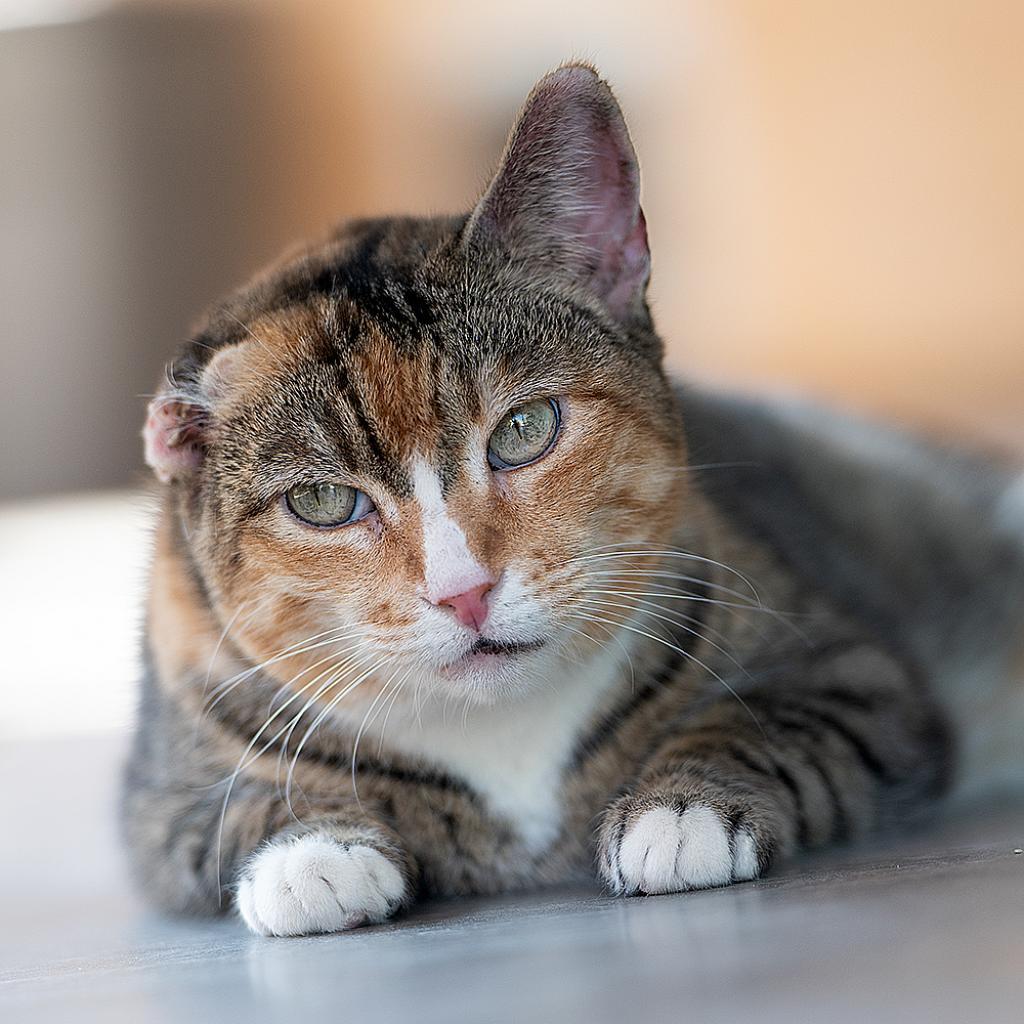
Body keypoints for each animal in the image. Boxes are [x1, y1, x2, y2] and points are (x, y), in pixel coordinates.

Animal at [123, 64, 1019, 937]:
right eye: (320, 501)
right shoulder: (162, 793)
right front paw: (312, 854)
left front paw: (683, 812)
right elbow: (228, 811)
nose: (465, 593)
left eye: (524, 429)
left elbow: (768, 722)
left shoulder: (855, 673)